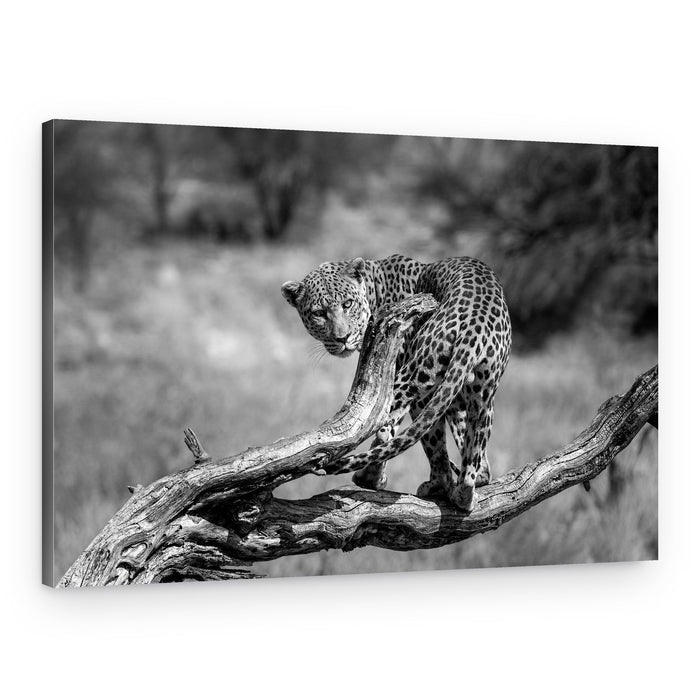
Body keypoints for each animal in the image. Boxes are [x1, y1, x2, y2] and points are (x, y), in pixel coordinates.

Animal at [281, 254, 511, 513]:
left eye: (348, 304)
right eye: (319, 313)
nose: (342, 338)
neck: (374, 290)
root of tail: (473, 330)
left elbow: (387, 431)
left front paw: (374, 478)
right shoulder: (456, 400)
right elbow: (470, 449)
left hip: (416, 382)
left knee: (421, 438)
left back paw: (429, 484)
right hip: (482, 396)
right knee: (472, 453)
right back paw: (464, 493)